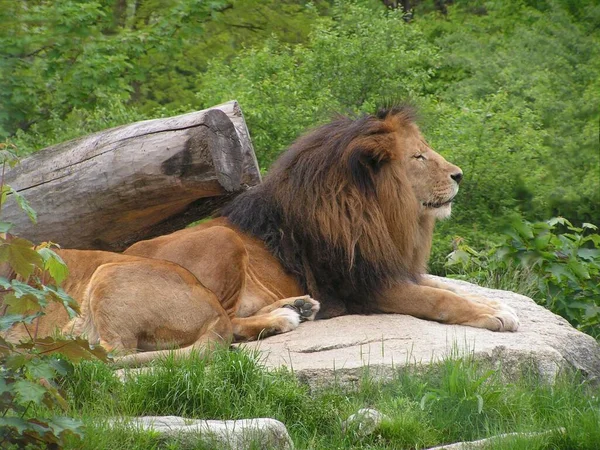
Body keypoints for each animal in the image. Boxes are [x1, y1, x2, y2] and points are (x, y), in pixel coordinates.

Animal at [0, 105, 516, 366]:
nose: (460, 175)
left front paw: (497, 304)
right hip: (218, 244)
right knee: (223, 324)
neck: (377, 211)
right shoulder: (366, 284)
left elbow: (445, 286)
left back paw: (297, 308)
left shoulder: (389, 267)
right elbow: (439, 298)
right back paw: (288, 314)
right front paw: (495, 316)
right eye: (419, 157)